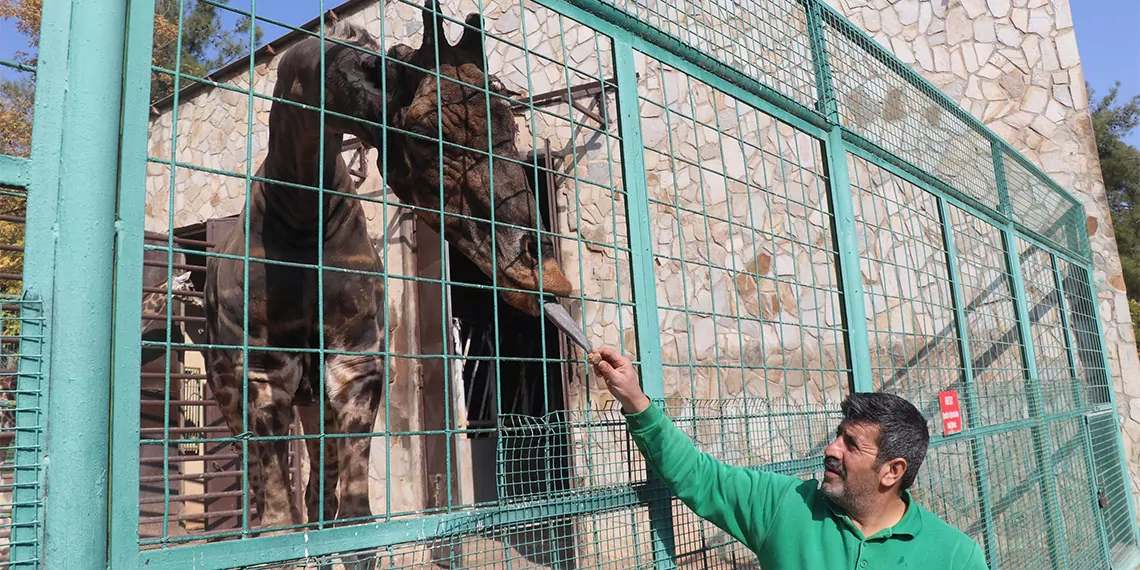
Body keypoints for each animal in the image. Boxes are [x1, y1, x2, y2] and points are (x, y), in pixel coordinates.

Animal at [198, 0, 579, 547]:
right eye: (424, 133)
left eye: (511, 123)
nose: (545, 274)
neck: (300, 216)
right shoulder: (264, 372)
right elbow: (278, 527)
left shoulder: (356, 363)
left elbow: (355, 520)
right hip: (231, 394)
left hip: (314, 401)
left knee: (319, 495)